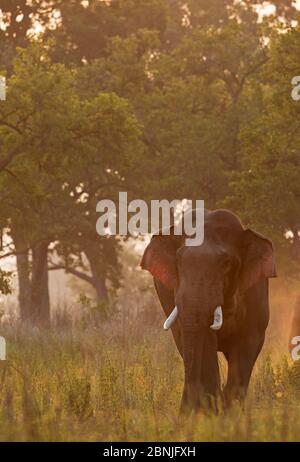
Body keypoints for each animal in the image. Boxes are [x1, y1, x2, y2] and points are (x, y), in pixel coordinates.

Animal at [141, 208, 276, 414]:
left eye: (226, 263)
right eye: (178, 261)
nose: (183, 412)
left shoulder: (256, 294)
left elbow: (248, 342)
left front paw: (230, 412)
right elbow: (205, 342)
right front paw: (213, 411)